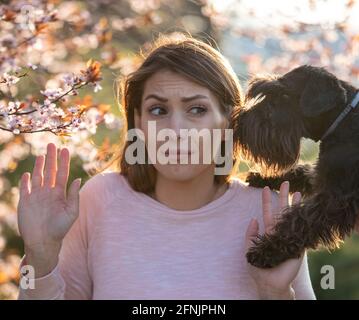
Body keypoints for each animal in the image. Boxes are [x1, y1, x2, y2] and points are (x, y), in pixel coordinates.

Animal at [233, 64, 359, 268]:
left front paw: (267, 249)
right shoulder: (320, 175)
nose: (241, 122)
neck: (344, 119)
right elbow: (299, 173)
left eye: (285, 96)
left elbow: (300, 219)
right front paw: (262, 177)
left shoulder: (335, 197)